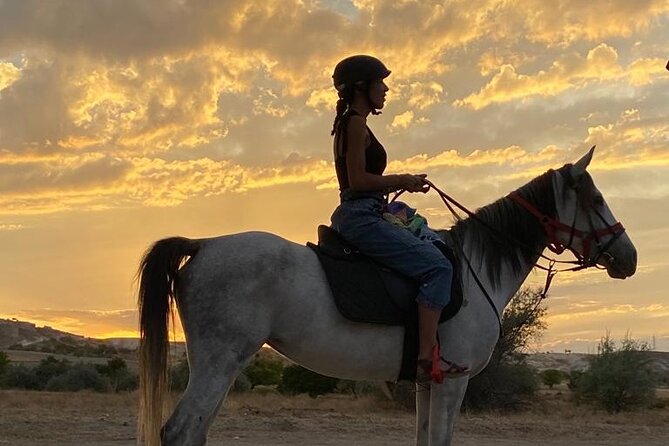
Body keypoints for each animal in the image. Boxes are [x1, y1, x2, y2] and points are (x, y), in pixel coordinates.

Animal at [137, 149, 636, 446]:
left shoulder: (426, 383)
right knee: (180, 432)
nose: (628, 258)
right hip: (221, 361)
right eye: (594, 198)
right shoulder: (452, 381)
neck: (475, 269)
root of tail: (203, 244)